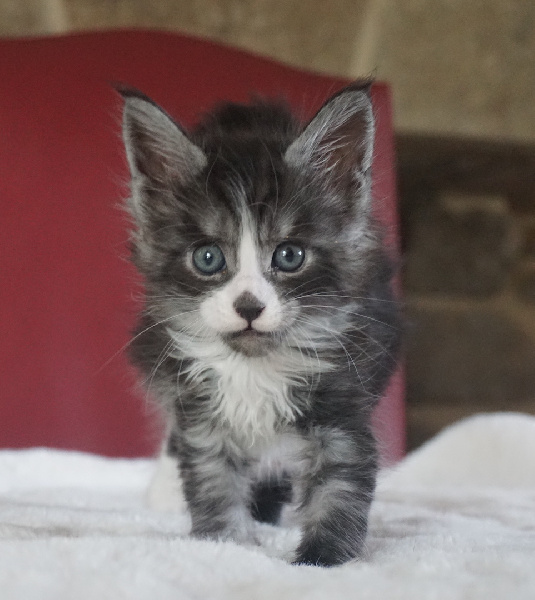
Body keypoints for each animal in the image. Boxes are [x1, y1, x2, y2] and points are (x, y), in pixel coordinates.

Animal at [119, 81, 400, 568]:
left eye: (289, 255)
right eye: (207, 257)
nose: (248, 306)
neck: (254, 370)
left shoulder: (343, 399)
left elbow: (340, 486)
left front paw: (323, 558)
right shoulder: (203, 415)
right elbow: (212, 483)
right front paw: (225, 544)